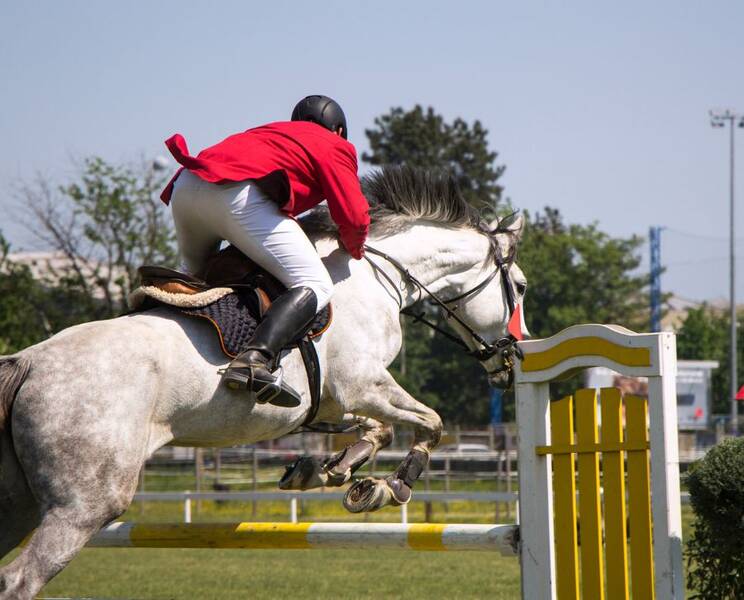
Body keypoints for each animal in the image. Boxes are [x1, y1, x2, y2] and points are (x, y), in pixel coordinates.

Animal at [0, 166, 527, 599]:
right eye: (519, 287)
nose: (512, 359)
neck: (375, 274)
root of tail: (27, 363)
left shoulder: (334, 402)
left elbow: (379, 430)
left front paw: (328, 471)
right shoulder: (364, 385)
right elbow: (430, 423)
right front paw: (390, 487)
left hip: (19, 499)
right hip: (84, 503)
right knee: (20, 578)